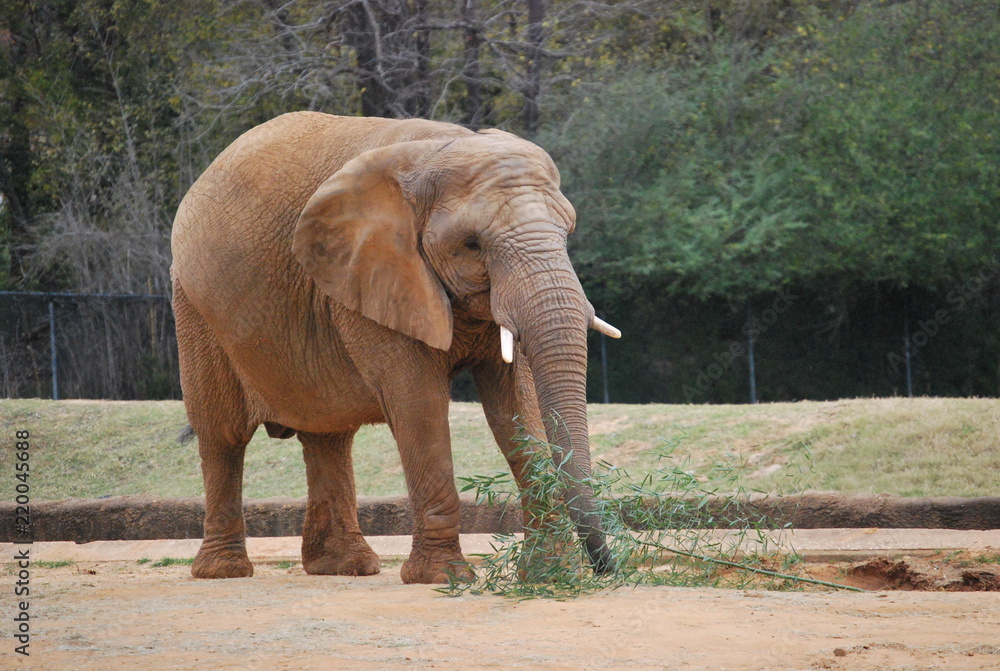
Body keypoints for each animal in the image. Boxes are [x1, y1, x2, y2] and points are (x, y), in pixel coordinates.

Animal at [170, 112, 621, 584]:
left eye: (566, 233)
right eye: (472, 244)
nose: (607, 568)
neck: (439, 148)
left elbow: (517, 404)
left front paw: (551, 575)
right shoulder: (370, 274)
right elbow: (418, 403)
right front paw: (443, 578)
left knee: (329, 435)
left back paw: (344, 567)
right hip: (195, 307)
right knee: (223, 435)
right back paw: (223, 571)